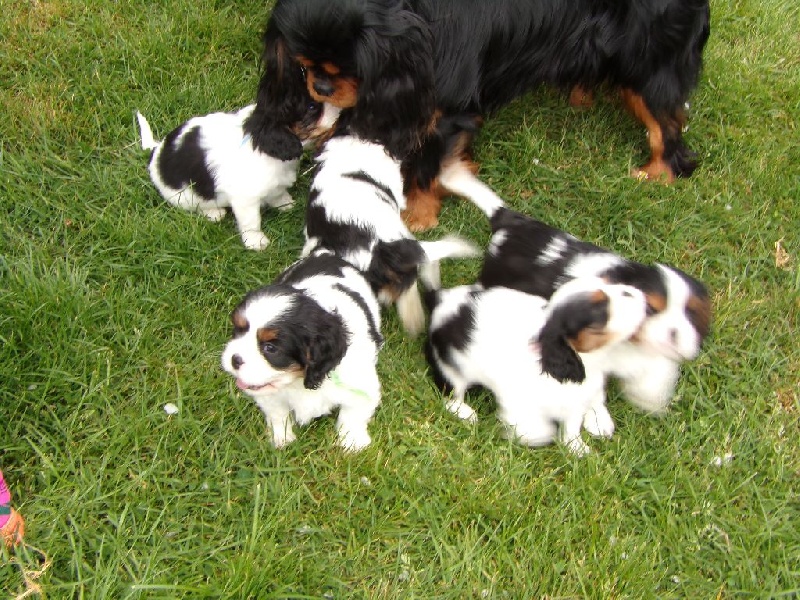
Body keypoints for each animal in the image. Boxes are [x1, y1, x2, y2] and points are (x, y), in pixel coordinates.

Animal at [138, 104, 338, 250]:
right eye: (312, 107)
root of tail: (156, 150)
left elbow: (277, 192)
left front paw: (284, 202)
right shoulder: (245, 198)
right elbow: (252, 221)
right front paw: (256, 241)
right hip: (182, 196)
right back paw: (213, 212)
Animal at [219, 248, 382, 450]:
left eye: (270, 348)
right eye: (237, 331)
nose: (234, 359)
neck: (298, 380)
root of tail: (326, 253)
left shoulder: (362, 384)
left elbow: (353, 414)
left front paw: (352, 443)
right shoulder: (270, 394)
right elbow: (278, 413)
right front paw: (282, 438)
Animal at [424, 276, 648, 454]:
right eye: (600, 311)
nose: (630, 290)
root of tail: (441, 298)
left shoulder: (578, 397)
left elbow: (573, 423)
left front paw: (575, 447)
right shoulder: (518, 400)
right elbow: (538, 429)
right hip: (450, 367)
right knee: (450, 393)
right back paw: (464, 411)